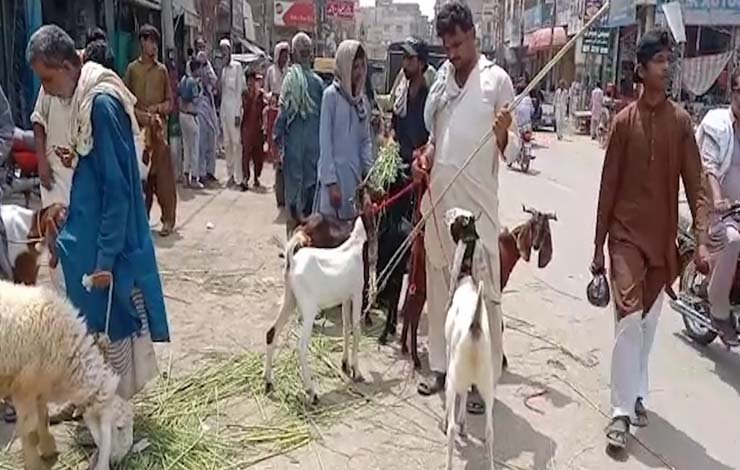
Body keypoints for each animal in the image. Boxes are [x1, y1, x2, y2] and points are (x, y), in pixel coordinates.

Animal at [0, 280, 133, 468]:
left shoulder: (40, 387)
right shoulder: (24, 389)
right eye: (120, 427)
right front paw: (35, 464)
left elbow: (44, 417)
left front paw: (48, 448)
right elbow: (30, 431)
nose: (117, 461)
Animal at [266, 217, 370, 404]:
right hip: (308, 309)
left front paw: (345, 364)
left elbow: (346, 328)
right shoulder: (357, 294)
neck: (354, 244)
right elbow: (356, 330)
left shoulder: (345, 298)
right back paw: (312, 392)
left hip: (289, 300)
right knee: (301, 347)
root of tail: (292, 262)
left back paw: (268, 383)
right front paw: (356, 371)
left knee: (271, 332)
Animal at [398, 204, 556, 370]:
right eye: (533, 225)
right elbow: (500, 324)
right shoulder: (497, 288)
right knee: (414, 312)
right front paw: (502, 359)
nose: (536, 245)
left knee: (409, 305)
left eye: (544, 229)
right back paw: (415, 358)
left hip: (415, 274)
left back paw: (404, 347)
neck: (505, 248)